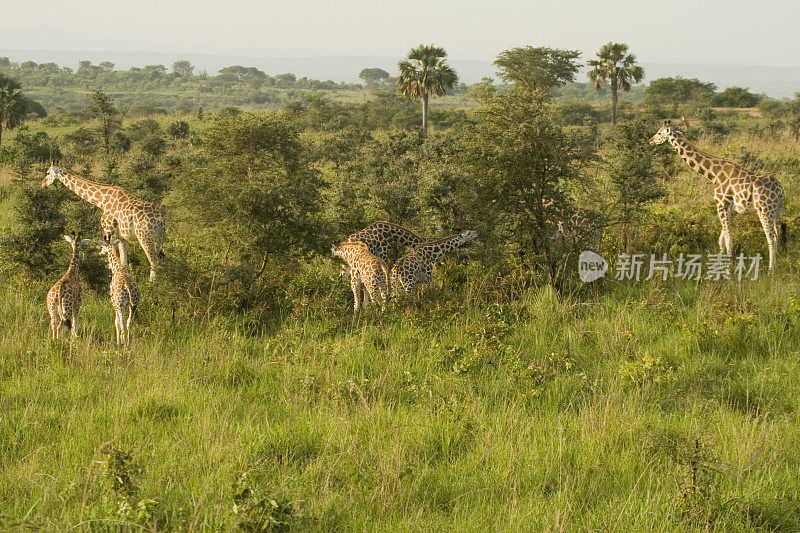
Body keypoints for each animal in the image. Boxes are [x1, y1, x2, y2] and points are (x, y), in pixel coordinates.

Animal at [648, 120, 788, 270]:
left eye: (659, 133)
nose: (650, 141)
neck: (713, 174)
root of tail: (780, 190)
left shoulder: (721, 206)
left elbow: (728, 239)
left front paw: (729, 269)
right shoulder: (731, 211)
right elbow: (722, 240)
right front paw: (721, 264)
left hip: (764, 210)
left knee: (771, 238)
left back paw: (771, 269)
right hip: (777, 211)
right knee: (778, 234)